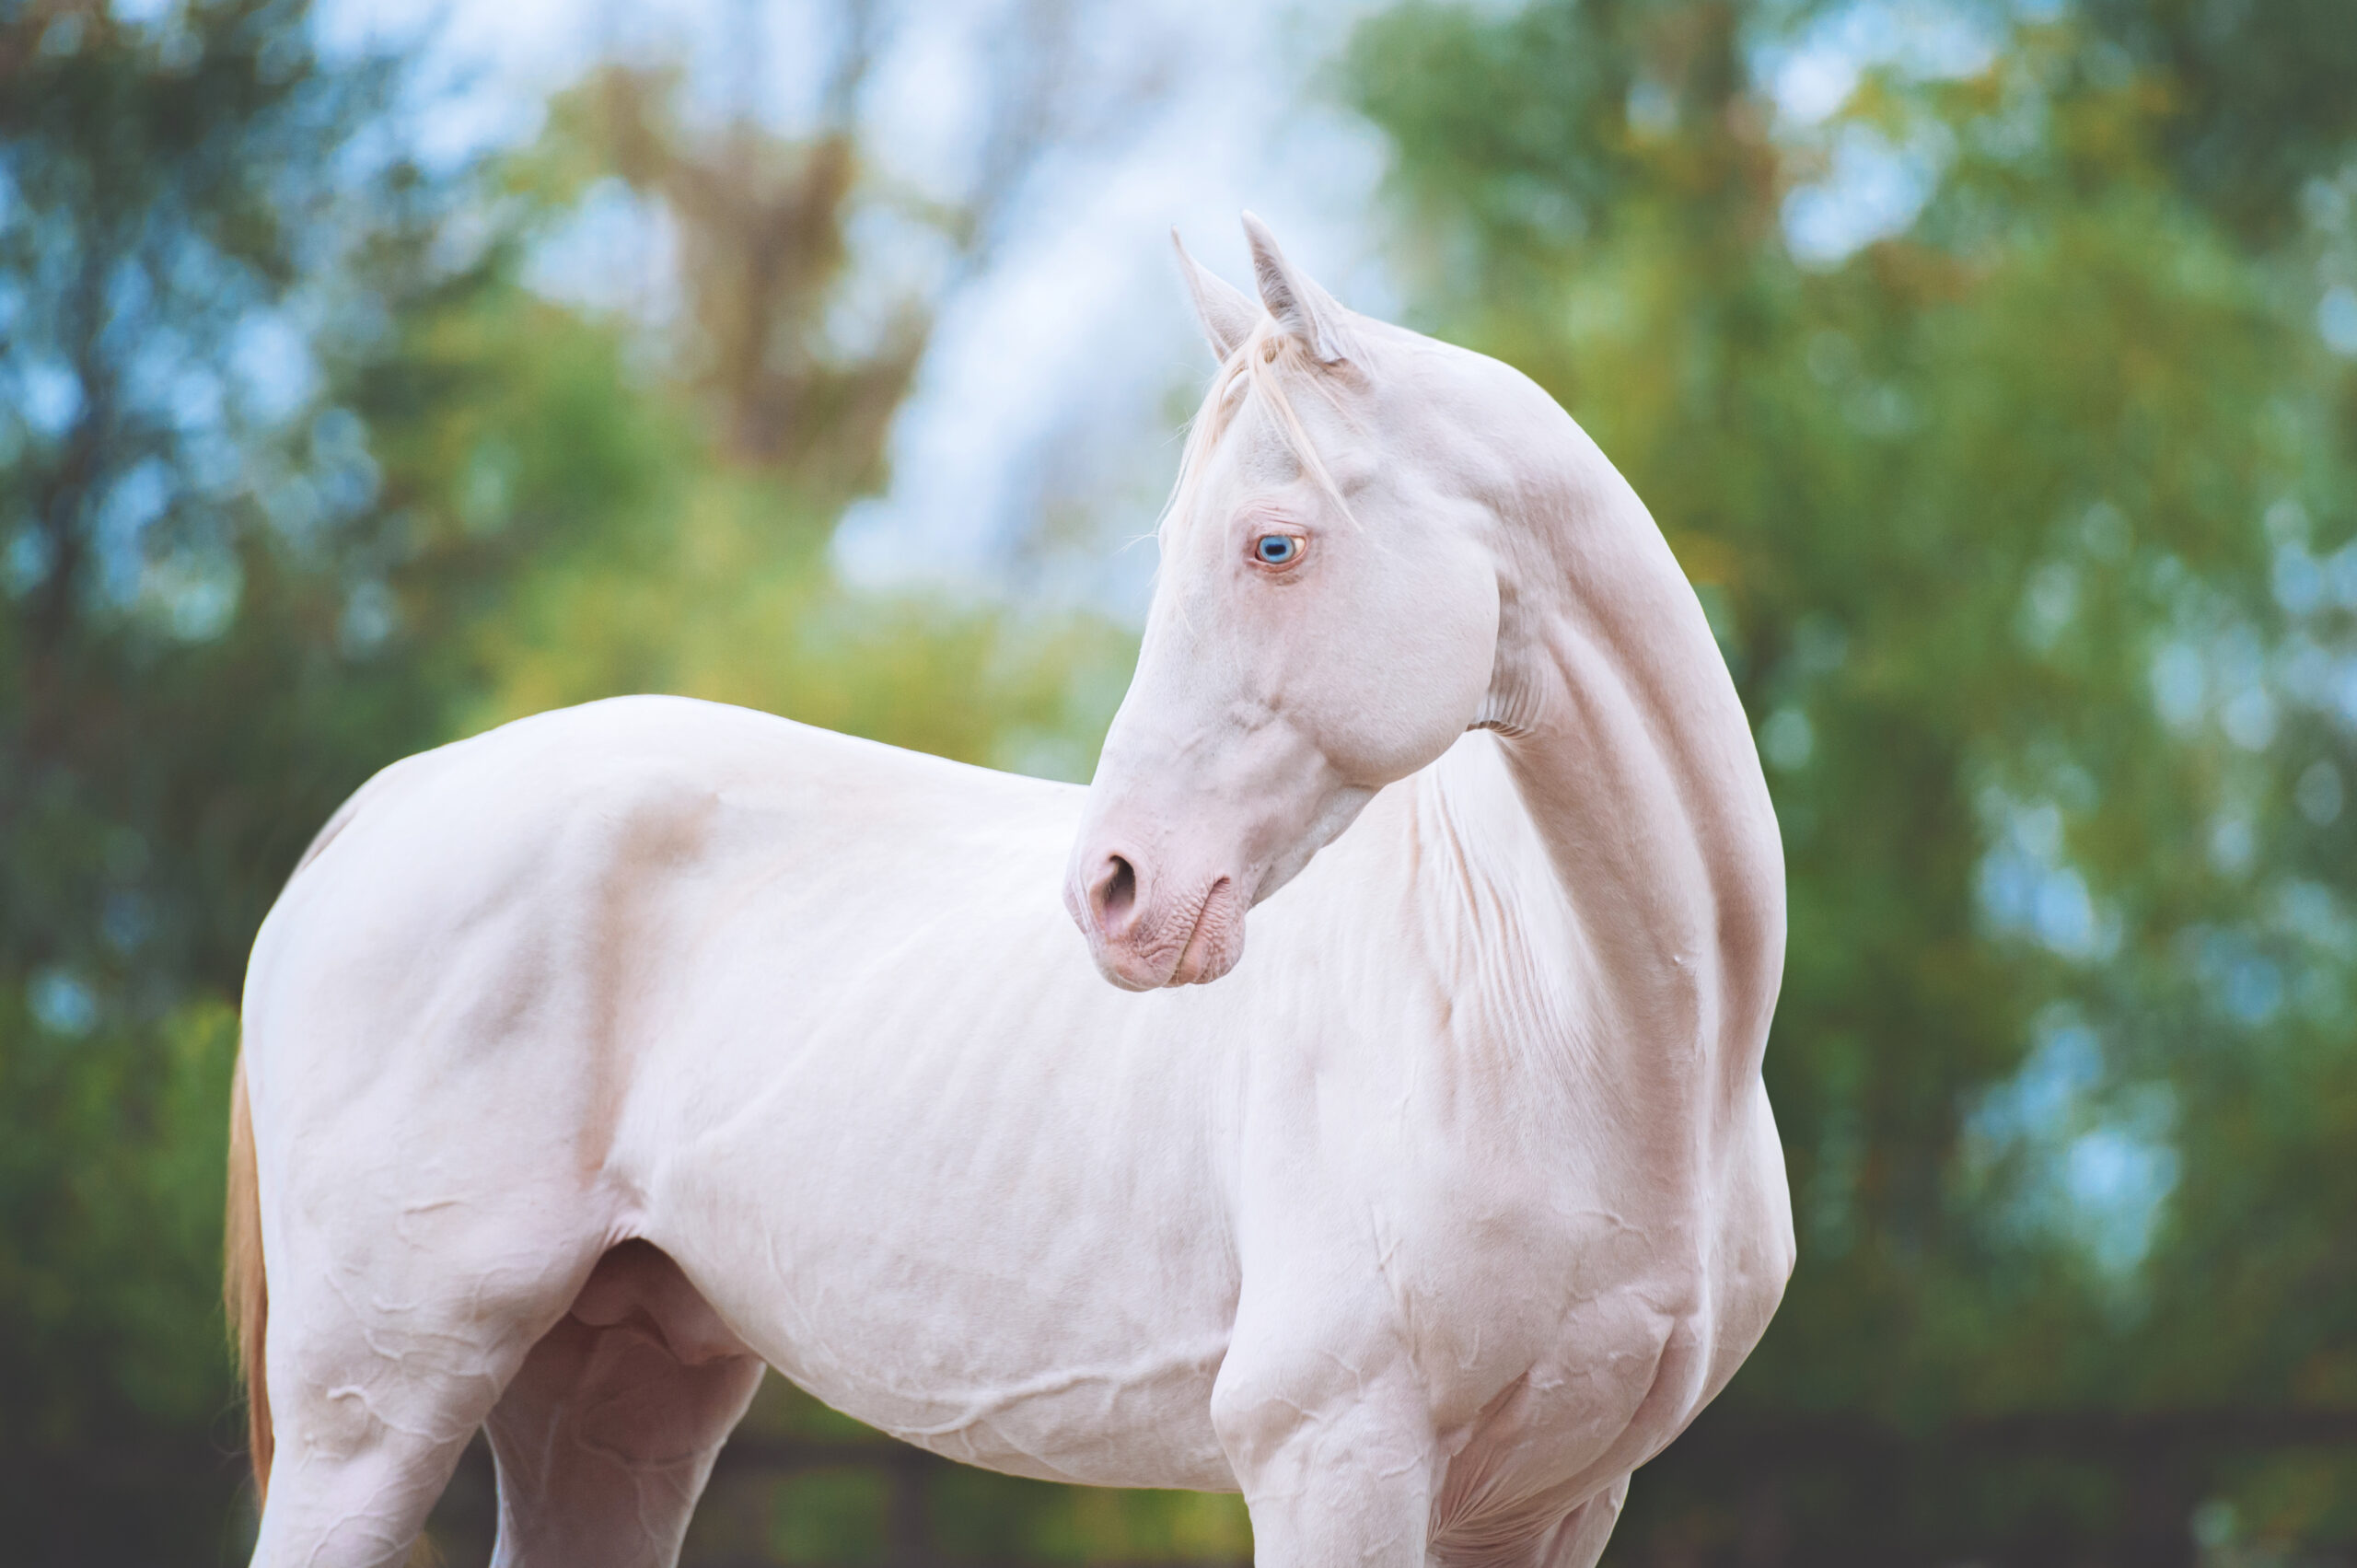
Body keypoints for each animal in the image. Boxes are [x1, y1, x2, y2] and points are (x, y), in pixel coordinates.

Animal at [229, 216, 1791, 1565]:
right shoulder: (1332, 1459)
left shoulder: (1554, 1502)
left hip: (614, 1393)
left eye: (1273, 542)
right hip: (376, 1406)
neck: (1578, 1026)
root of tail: (388, 802)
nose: (1116, 889)